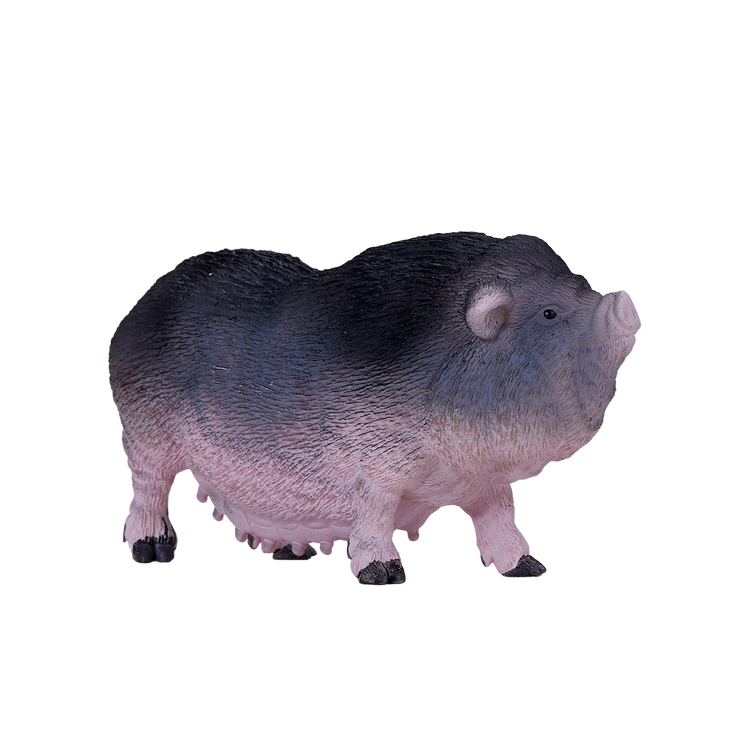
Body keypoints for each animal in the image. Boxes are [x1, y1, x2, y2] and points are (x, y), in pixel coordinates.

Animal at [105, 229, 643, 586]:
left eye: (581, 282)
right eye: (549, 313)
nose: (627, 301)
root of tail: (135, 312)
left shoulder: (487, 481)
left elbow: (502, 520)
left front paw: (530, 570)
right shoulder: (377, 464)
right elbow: (376, 514)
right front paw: (385, 577)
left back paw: (293, 556)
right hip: (143, 430)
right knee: (150, 488)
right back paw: (152, 552)